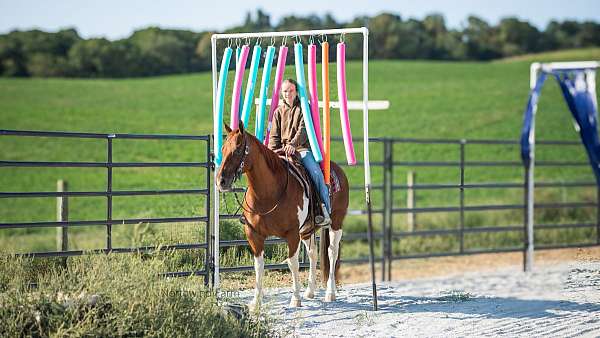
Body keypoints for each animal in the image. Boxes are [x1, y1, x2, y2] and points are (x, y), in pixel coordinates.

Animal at [216, 123, 350, 308]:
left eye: (237, 150)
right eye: (222, 148)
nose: (221, 181)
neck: (268, 193)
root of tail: (338, 170)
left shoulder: (292, 234)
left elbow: (292, 263)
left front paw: (295, 299)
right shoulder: (254, 234)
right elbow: (259, 266)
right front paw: (255, 302)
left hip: (336, 222)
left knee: (332, 253)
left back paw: (330, 293)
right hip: (307, 230)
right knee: (313, 254)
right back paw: (310, 292)